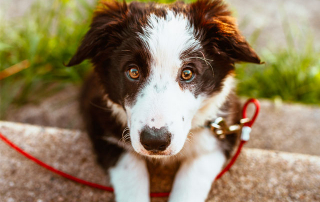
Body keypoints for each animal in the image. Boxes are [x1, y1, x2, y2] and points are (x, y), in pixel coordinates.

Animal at [66, 0, 262, 201]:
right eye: (133, 71)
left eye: (187, 73)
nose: (154, 142)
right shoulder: (100, 122)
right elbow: (130, 172)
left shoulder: (221, 132)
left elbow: (192, 180)